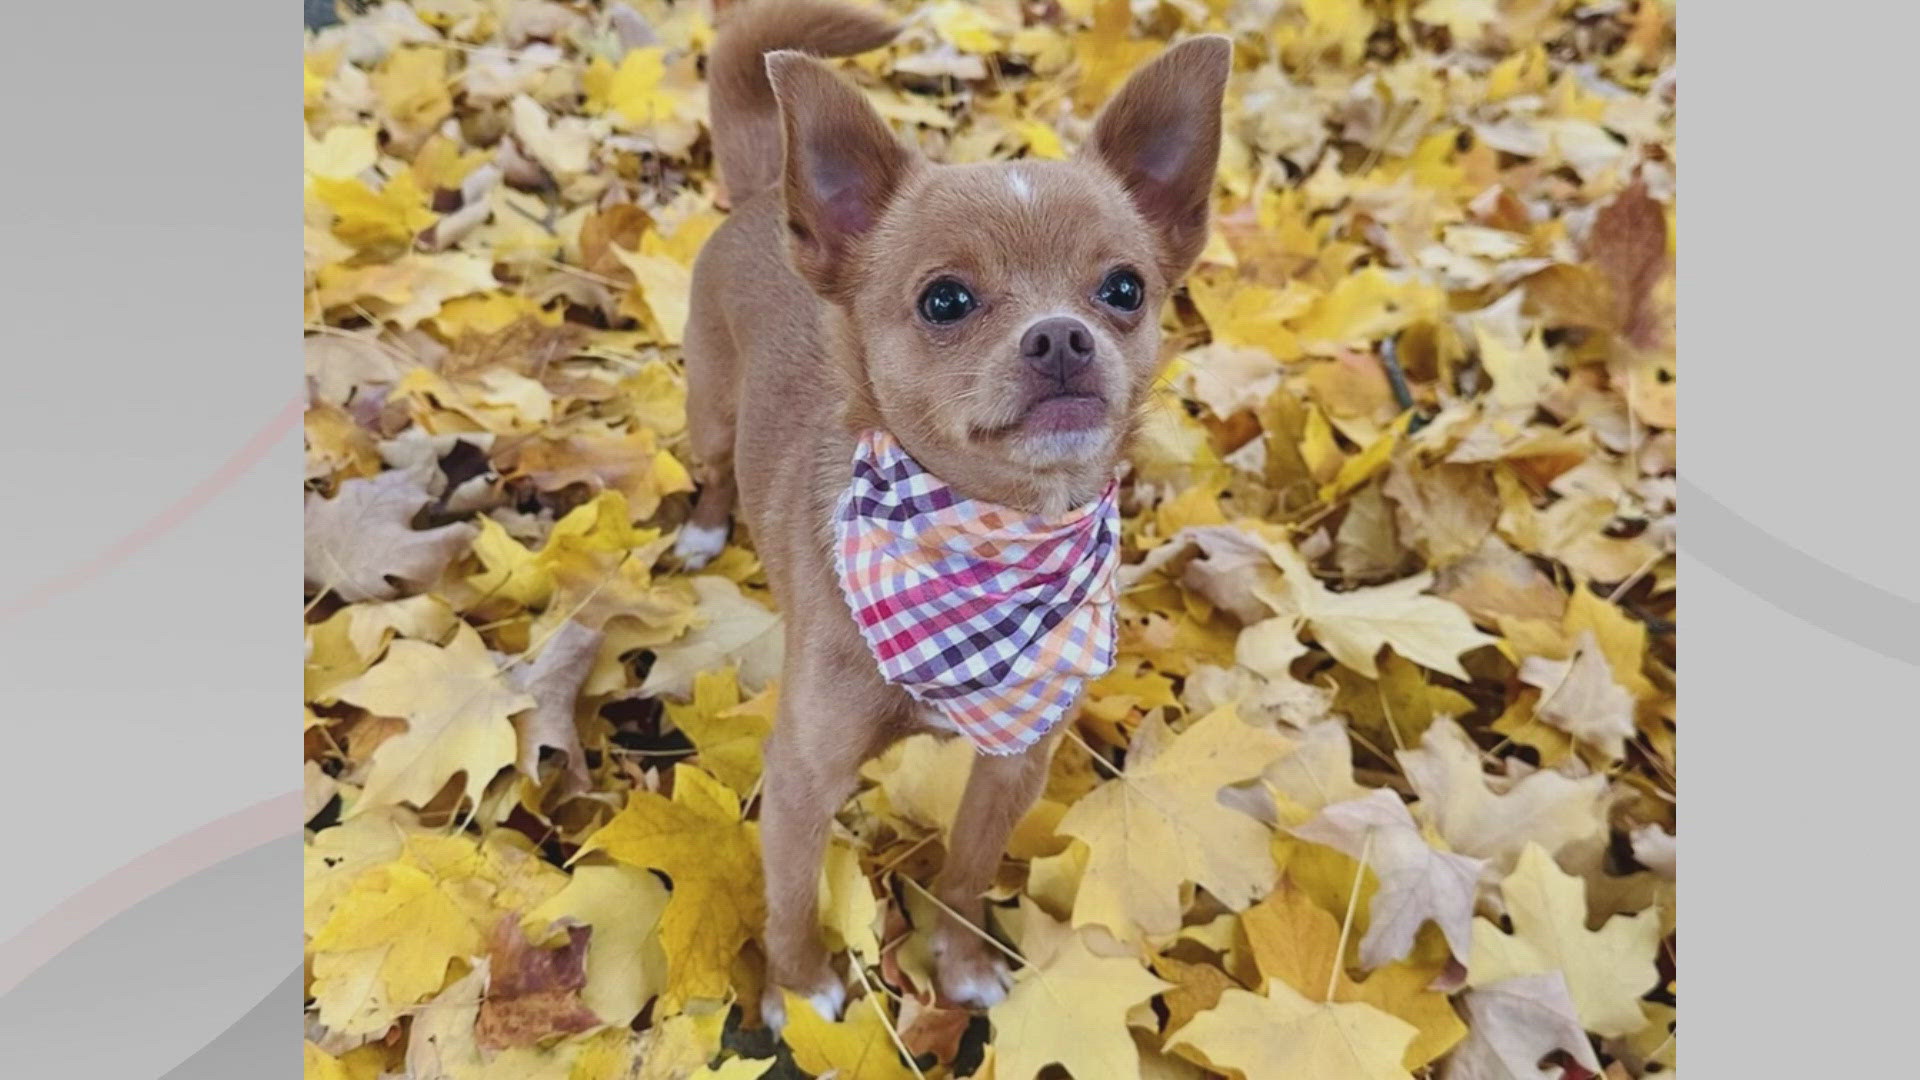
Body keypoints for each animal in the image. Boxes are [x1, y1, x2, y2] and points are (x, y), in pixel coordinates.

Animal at [679, 0, 1228, 1022]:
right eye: (945, 300)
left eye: (1125, 289)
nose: (1062, 337)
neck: (994, 537)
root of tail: (761, 197)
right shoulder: (803, 778)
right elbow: (788, 895)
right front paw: (797, 988)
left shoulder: (1014, 764)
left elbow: (967, 873)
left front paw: (960, 965)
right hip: (708, 411)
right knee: (713, 468)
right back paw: (702, 527)